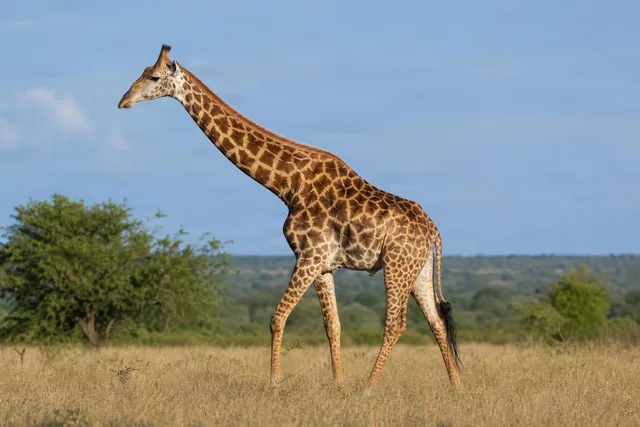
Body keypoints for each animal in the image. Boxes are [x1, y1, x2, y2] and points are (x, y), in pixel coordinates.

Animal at [117, 44, 462, 392]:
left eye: (154, 77)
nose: (123, 101)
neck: (287, 185)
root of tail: (432, 229)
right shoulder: (323, 264)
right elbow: (332, 325)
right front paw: (337, 384)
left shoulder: (309, 255)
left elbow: (277, 317)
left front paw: (274, 382)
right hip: (418, 269)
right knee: (437, 321)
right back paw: (456, 386)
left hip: (395, 266)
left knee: (396, 324)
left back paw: (368, 388)